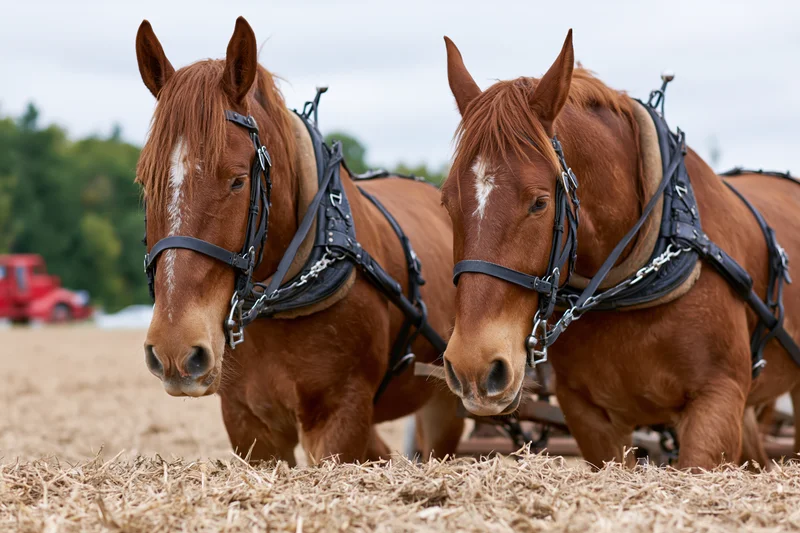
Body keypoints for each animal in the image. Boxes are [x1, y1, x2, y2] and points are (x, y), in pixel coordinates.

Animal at [134, 17, 463, 464]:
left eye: (238, 181)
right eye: (145, 183)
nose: (174, 346)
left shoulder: (341, 418)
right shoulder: (249, 425)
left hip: (447, 398)